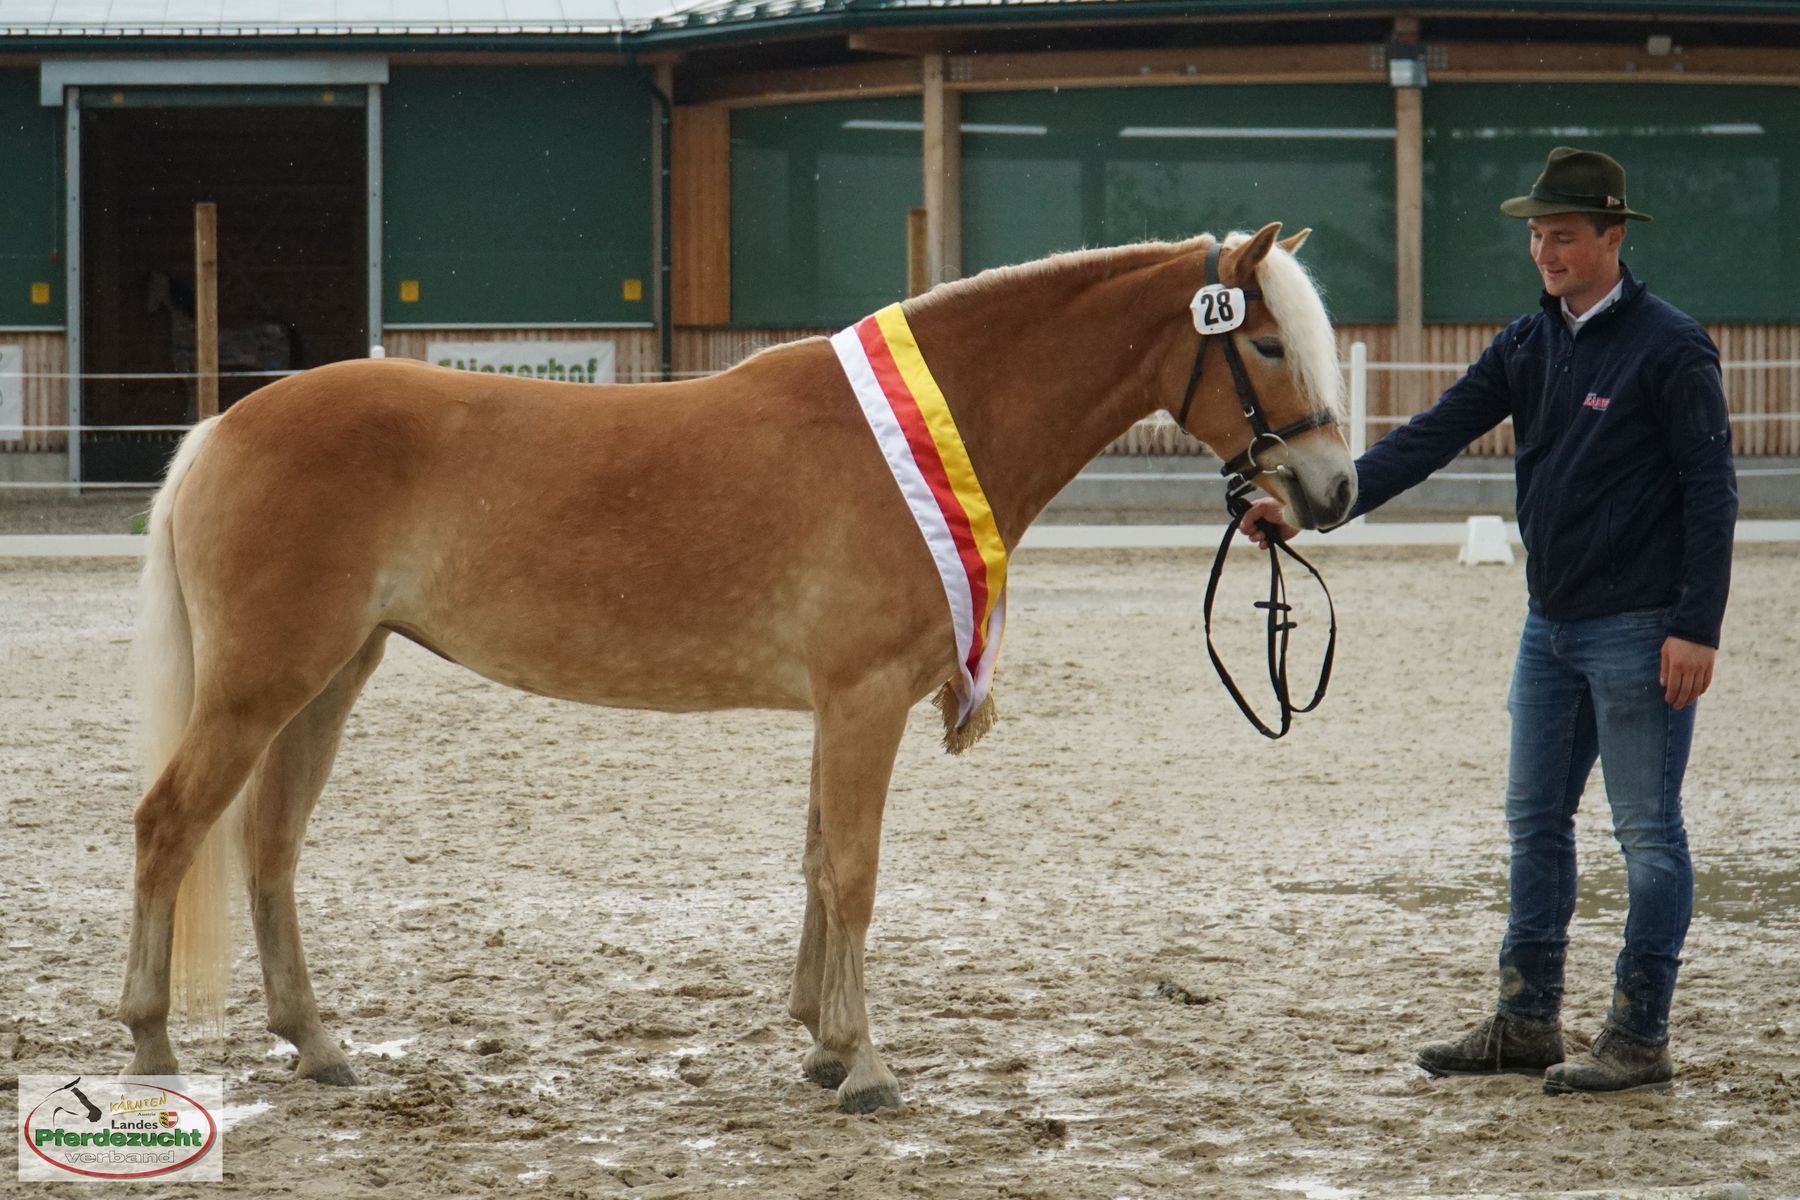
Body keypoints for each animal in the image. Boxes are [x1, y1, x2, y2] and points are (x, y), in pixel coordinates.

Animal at [119, 220, 1353, 1115]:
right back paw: (150, 1045)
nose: (1334, 489)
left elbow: (815, 864)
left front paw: (822, 1045)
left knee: (270, 846)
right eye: (1267, 345)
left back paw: (319, 1047)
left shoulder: (841, 709)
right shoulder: (863, 703)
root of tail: (224, 427)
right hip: (262, 687)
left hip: (327, 682)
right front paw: (867, 1068)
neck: (918, 440)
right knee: (172, 826)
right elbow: (853, 873)